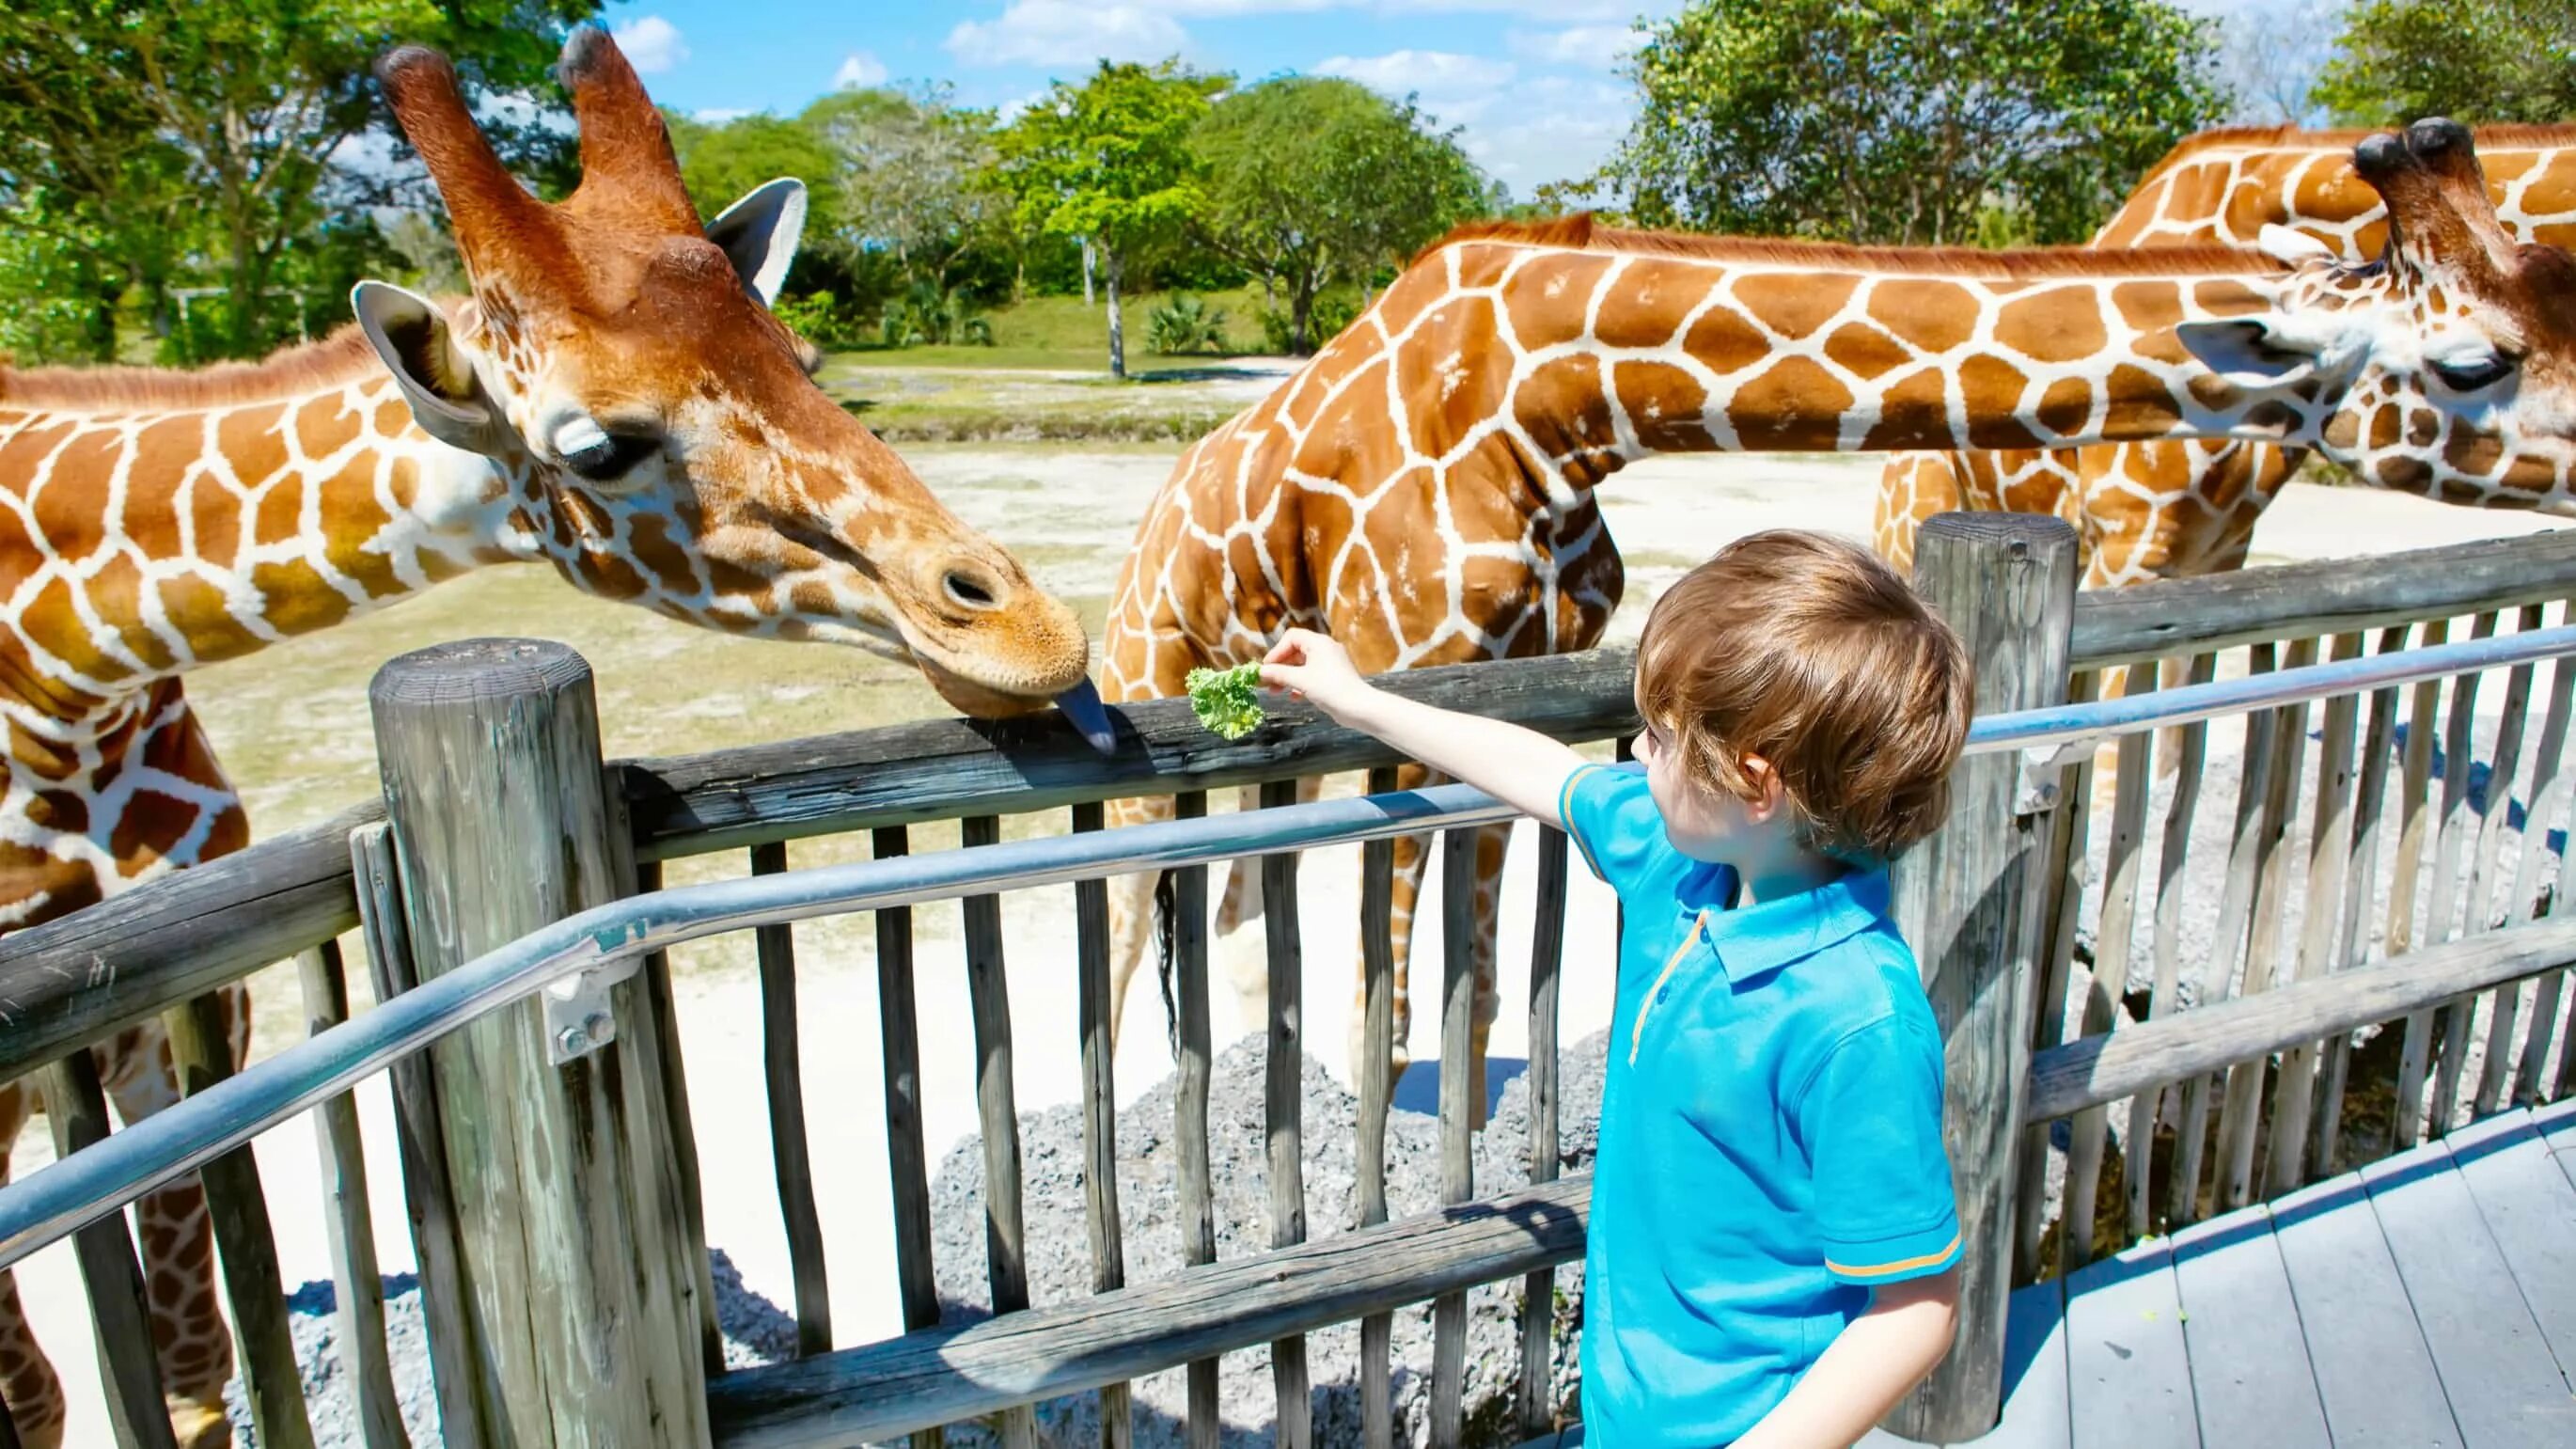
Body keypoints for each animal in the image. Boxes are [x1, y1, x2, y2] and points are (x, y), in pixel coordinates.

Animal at [0, 25, 1102, 1443]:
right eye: (601, 445)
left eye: (802, 360)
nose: (1032, 634)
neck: (69, 670)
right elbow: (57, 1383)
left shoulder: (191, 1012)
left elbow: (192, 1368)